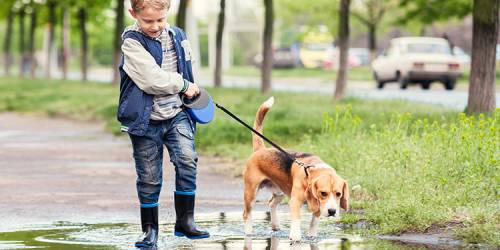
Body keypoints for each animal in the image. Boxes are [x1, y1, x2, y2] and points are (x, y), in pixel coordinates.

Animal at [242, 96, 348, 241]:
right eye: (323, 193)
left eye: (338, 194)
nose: (332, 211)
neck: (310, 171)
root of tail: (261, 149)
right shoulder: (295, 201)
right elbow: (297, 219)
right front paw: (296, 237)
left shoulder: (317, 204)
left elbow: (314, 221)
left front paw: (312, 236)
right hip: (251, 192)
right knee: (246, 214)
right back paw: (249, 232)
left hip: (280, 190)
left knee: (271, 203)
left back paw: (275, 225)